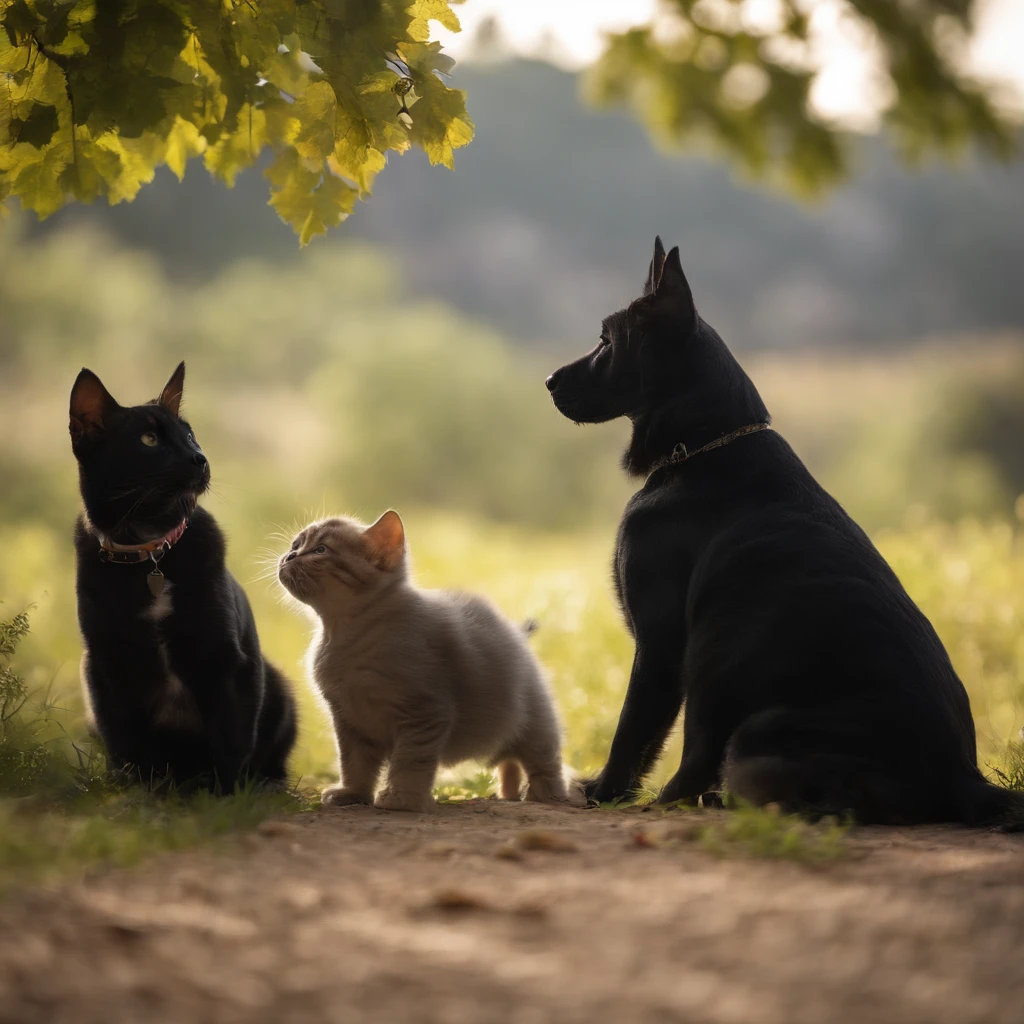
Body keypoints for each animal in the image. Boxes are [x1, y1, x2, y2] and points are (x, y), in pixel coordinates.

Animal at [70, 364, 296, 794]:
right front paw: (139, 792)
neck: (149, 552)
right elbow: (127, 742)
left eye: (188, 434)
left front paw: (227, 798)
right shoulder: (106, 664)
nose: (199, 458)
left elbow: (230, 738)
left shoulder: (225, 659)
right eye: (149, 439)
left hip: (278, 687)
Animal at [280, 512, 569, 815]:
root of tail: (517, 634)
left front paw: (402, 799)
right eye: (296, 544)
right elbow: (354, 764)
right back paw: (509, 795)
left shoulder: (424, 711)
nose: (289, 555)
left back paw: (547, 795)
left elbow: (410, 761)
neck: (345, 637)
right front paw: (353, 793)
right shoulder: (350, 720)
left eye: (320, 550)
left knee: (545, 762)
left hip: (537, 723)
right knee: (510, 762)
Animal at [548, 235, 1019, 827]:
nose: (548, 381)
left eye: (607, 340)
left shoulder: (665, 646)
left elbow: (637, 731)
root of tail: (963, 778)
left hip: (756, 729)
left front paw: (614, 792)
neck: (706, 445)